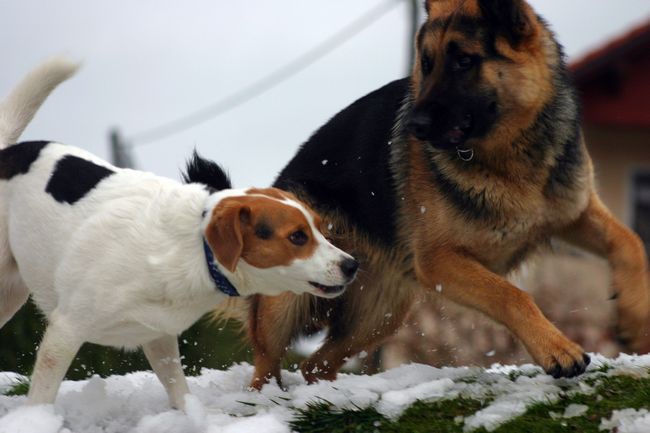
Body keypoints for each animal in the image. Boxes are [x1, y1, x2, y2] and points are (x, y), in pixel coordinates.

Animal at [0, 57, 354, 408]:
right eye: (297, 236)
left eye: (321, 227)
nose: (353, 265)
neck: (195, 248)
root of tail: (6, 152)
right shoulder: (65, 331)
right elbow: (42, 396)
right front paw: (36, 419)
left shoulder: (159, 336)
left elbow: (180, 393)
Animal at [242, 0, 648, 388]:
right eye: (427, 63)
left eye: (463, 61)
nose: (413, 126)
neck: (510, 156)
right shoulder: (440, 261)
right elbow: (512, 294)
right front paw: (557, 348)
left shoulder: (574, 214)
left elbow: (631, 242)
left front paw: (636, 321)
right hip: (288, 294)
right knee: (265, 368)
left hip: (380, 313)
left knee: (316, 364)